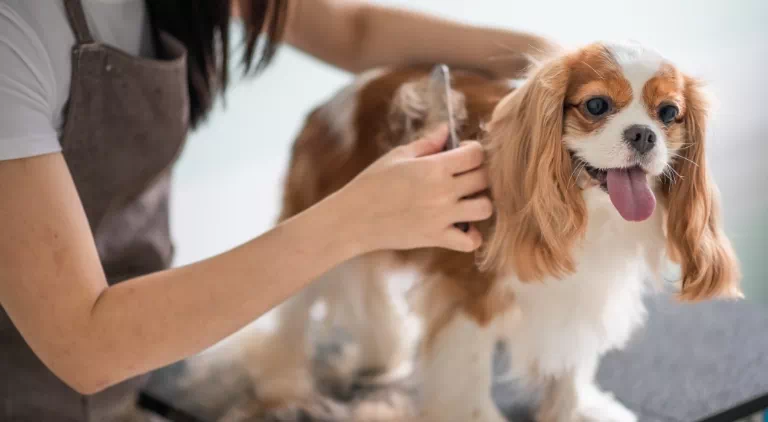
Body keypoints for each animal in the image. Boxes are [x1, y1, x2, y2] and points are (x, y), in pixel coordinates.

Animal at [243, 40, 740, 422]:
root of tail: (328, 105)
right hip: (317, 233)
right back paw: (284, 385)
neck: (590, 214)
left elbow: (571, 363)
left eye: (668, 113)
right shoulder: (470, 295)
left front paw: (572, 409)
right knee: (292, 315)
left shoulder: (580, 294)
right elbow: (469, 374)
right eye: (596, 105)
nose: (643, 134)